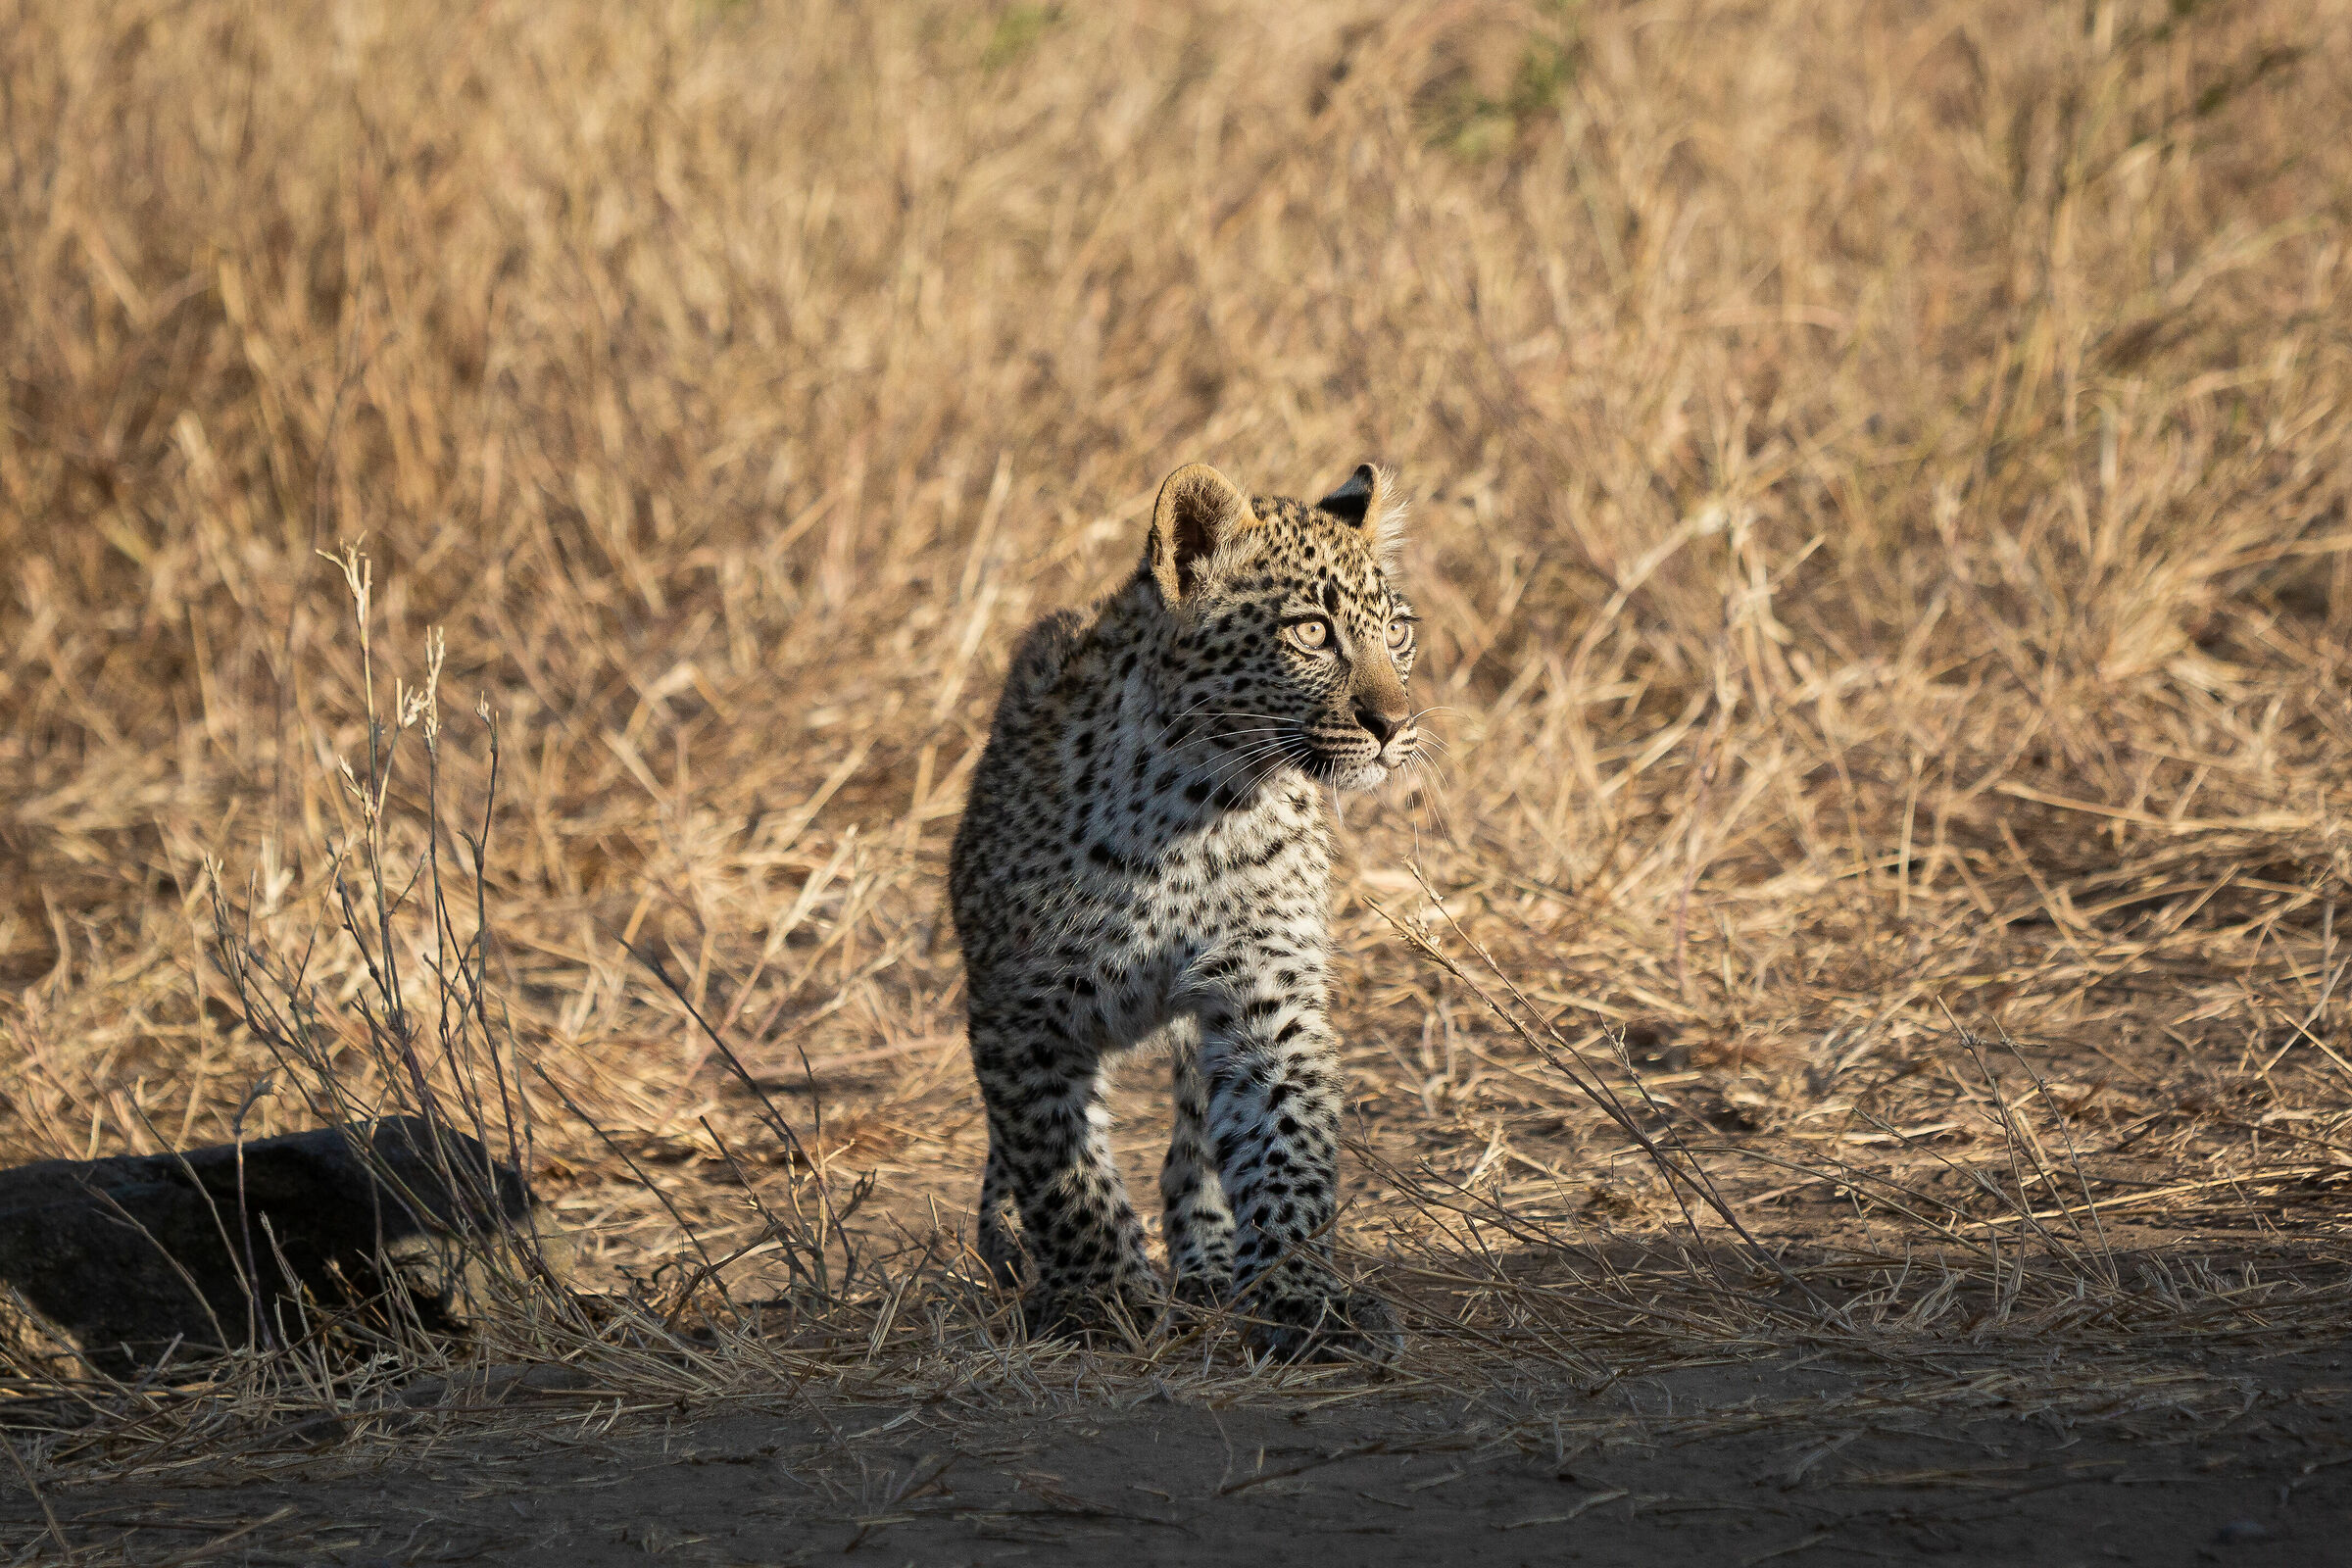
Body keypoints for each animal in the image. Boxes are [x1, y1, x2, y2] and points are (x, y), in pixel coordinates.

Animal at [947, 458, 1421, 1362]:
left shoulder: (1265, 997)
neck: (1200, 808)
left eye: (1398, 634)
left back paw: (1205, 1261)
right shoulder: (1020, 1013)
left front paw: (1299, 1296)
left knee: (1192, 1147)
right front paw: (1098, 1296)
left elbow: (1284, 1146)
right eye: (1312, 632)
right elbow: (1059, 1166)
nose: (1395, 725)